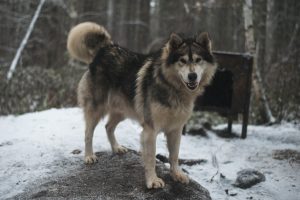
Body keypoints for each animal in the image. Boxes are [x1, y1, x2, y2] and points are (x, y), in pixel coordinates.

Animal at [67, 22, 217, 189]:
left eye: (198, 60)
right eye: (182, 61)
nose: (192, 76)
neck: (172, 88)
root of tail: (107, 47)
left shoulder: (176, 130)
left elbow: (174, 155)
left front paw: (176, 175)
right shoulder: (150, 130)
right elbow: (151, 158)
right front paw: (152, 181)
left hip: (122, 111)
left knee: (108, 127)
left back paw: (117, 148)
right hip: (96, 109)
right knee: (88, 133)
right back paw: (89, 156)